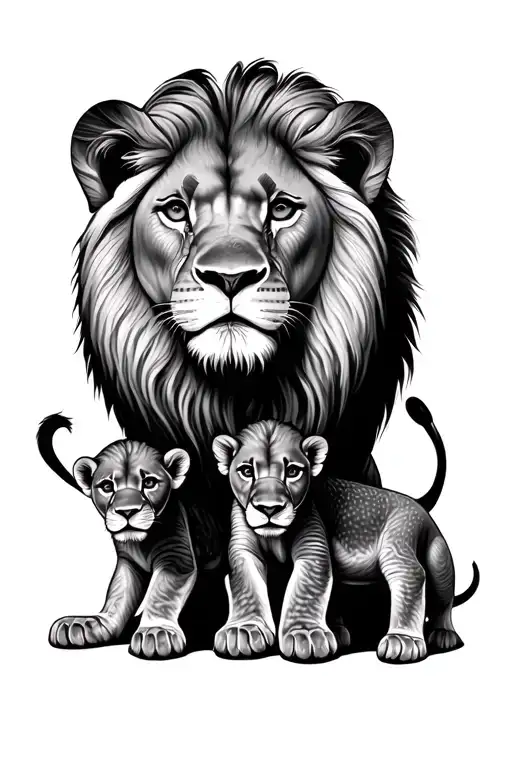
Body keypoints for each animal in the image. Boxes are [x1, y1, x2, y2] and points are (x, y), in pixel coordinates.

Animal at [38, 414, 197, 660]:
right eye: (107, 486)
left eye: (149, 482)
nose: (127, 511)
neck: (142, 543)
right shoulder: (128, 562)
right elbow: (119, 593)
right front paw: (92, 624)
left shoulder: (177, 556)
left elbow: (162, 593)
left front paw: (156, 631)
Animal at [212, 412, 479, 664]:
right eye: (247, 471)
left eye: (293, 471)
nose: (269, 508)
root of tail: (419, 507)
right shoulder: (243, 548)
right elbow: (246, 584)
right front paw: (244, 631)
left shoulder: (313, 547)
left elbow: (304, 588)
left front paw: (305, 635)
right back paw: (340, 633)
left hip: (418, 548)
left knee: (425, 586)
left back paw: (426, 636)